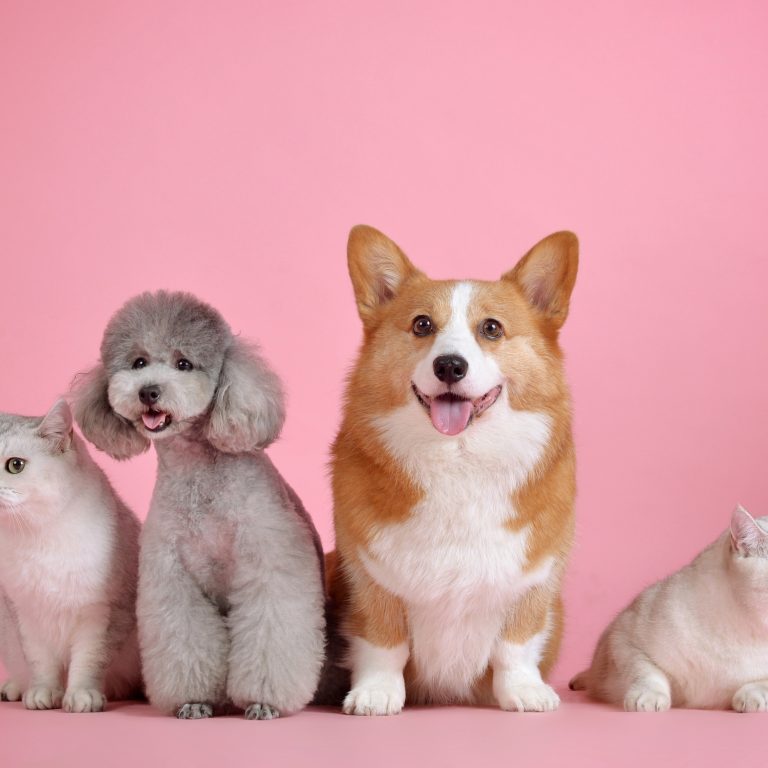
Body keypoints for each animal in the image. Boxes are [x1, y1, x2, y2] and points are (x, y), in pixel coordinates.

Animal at [0, 400, 141, 712]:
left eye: (15, 465)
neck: (38, 535)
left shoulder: (102, 612)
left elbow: (89, 659)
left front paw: (81, 695)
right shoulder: (24, 612)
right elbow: (40, 661)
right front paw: (42, 693)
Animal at [328, 225, 576, 716]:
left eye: (492, 328)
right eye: (422, 324)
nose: (449, 365)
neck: (459, 459)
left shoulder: (536, 577)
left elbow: (516, 644)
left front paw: (524, 691)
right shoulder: (367, 575)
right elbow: (383, 641)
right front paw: (376, 693)